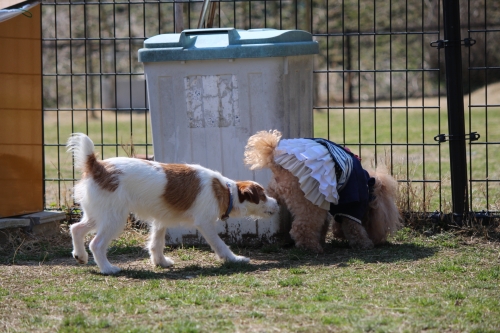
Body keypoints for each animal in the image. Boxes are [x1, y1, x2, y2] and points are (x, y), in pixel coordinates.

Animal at [65, 134, 282, 274]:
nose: (277, 203)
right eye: (263, 196)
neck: (225, 190)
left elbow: (156, 243)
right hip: (114, 219)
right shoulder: (205, 223)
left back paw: (80, 256)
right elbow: (219, 244)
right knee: (96, 243)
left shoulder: (160, 221)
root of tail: (97, 166)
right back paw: (107, 269)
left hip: (98, 215)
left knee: (76, 228)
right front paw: (234, 259)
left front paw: (160, 262)